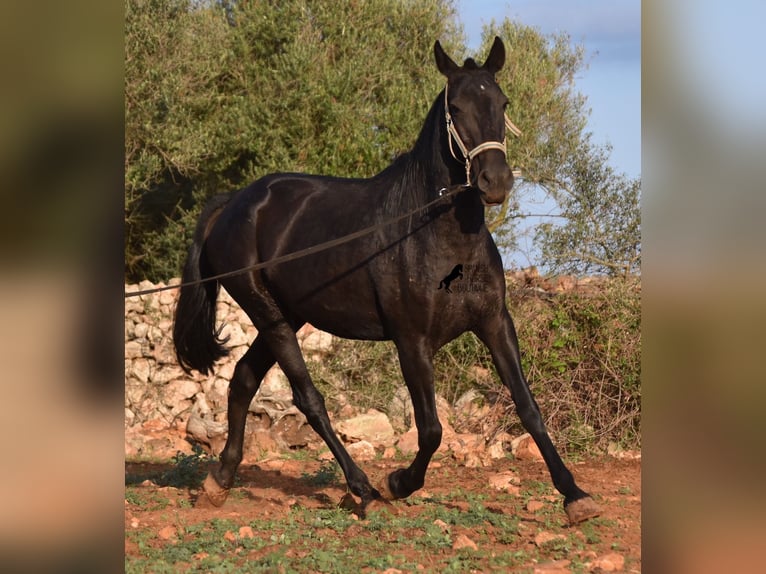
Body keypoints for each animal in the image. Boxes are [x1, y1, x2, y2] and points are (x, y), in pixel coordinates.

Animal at [172, 38, 600, 528]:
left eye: (503, 102)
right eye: (456, 107)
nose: (495, 182)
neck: (437, 236)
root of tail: (233, 203)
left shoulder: (495, 323)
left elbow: (529, 408)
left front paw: (575, 495)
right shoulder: (411, 341)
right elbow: (431, 429)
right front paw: (398, 483)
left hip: (286, 315)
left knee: (243, 379)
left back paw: (220, 481)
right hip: (271, 317)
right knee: (308, 399)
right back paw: (364, 490)